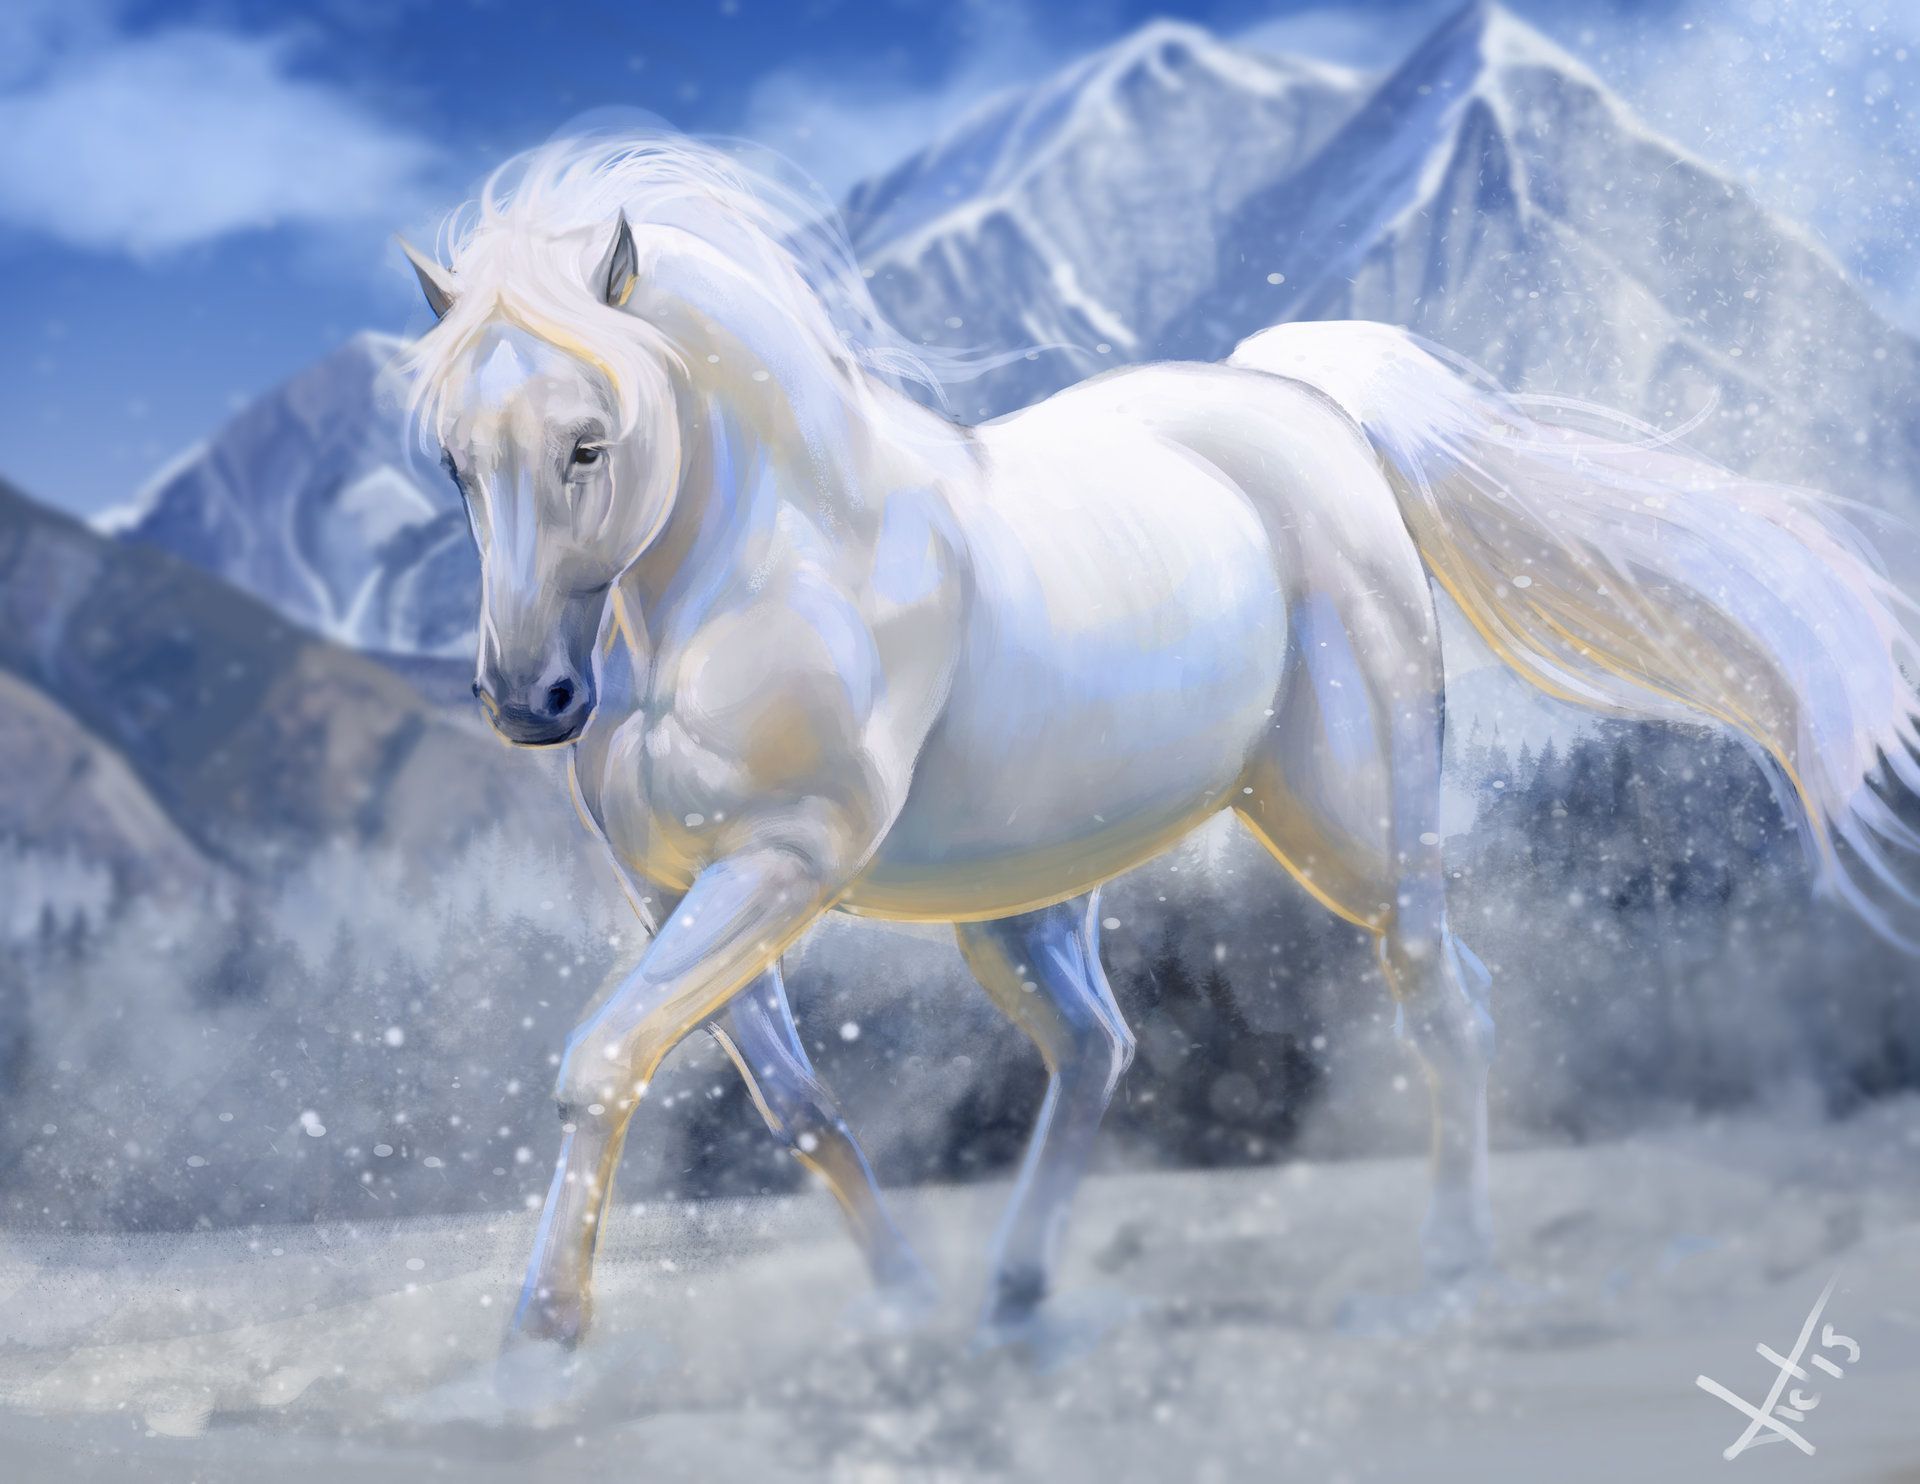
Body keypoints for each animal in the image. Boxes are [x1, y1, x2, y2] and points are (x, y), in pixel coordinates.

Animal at [396, 133, 1920, 1353]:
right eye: (457, 459)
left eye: (591, 440)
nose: (529, 700)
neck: (761, 566)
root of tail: (1307, 409)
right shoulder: (672, 893)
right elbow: (795, 1109)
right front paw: (899, 1305)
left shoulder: (781, 868)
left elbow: (599, 1060)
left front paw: (537, 1347)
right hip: (1022, 898)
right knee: (1098, 1044)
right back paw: (1011, 1296)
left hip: (1356, 827)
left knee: (1445, 995)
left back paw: (1448, 1265)